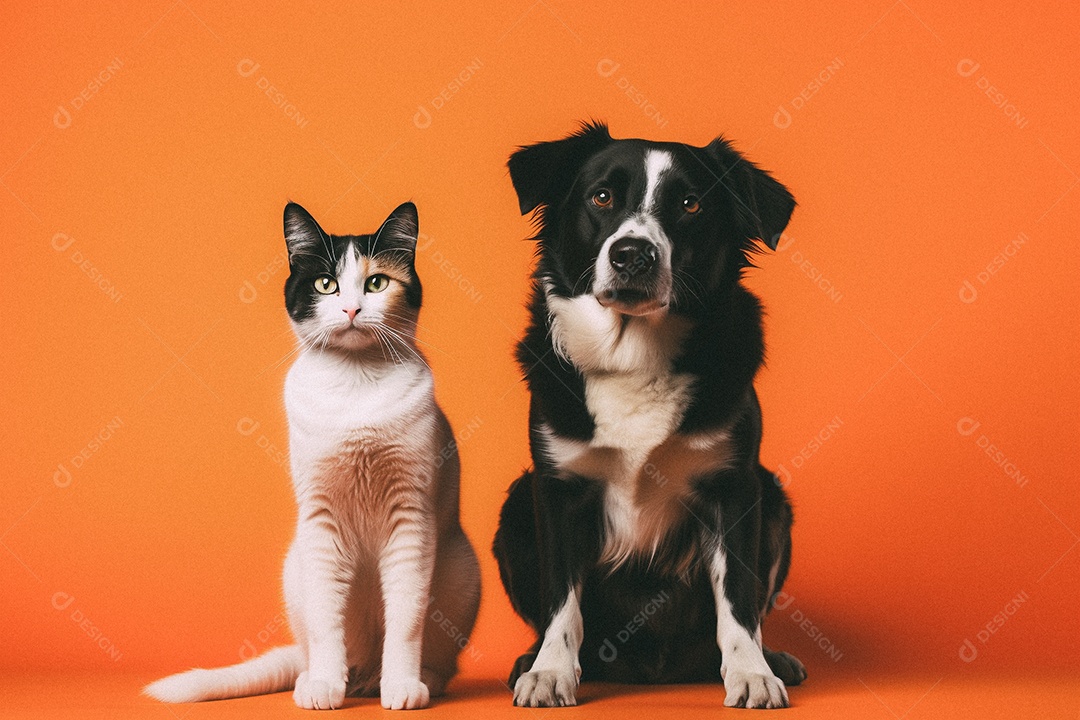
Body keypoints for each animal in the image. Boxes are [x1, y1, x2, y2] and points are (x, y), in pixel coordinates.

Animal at [145, 201, 483, 708]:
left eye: (376, 283)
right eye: (326, 284)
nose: (351, 308)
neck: (356, 384)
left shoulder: (410, 521)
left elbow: (405, 624)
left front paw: (403, 687)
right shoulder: (322, 523)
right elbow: (327, 624)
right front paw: (325, 686)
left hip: (462, 569)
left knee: (433, 661)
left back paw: (407, 681)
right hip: (297, 564)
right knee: (322, 651)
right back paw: (322, 679)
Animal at [494, 122, 807, 708]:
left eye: (690, 204)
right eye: (601, 196)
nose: (632, 255)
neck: (633, 354)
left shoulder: (734, 486)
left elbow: (738, 599)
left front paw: (751, 672)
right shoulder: (558, 489)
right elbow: (561, 604)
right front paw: (549, 671)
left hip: (773, 498)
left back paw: (771, 658)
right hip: (517, 506)